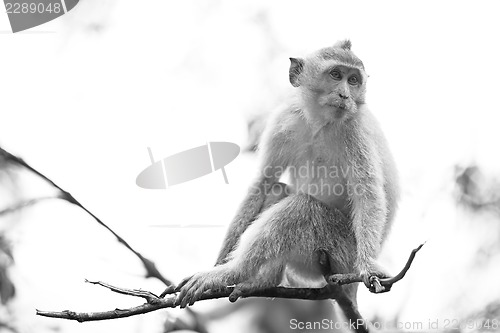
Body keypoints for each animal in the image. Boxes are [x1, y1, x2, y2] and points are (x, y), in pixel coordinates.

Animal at [174, 40, 400, 328]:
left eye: (353, 80)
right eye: (336, 75)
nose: (345, 95)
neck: (320, 123)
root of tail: (350, 288)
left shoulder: (354, 129)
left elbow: (367, 194)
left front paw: (369, 267)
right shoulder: (285, 118)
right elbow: (263, 181)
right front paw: (218, 262)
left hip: (340, 256)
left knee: (301, 208)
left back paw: (234, 272)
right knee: (277, 191)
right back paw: (259, 280)